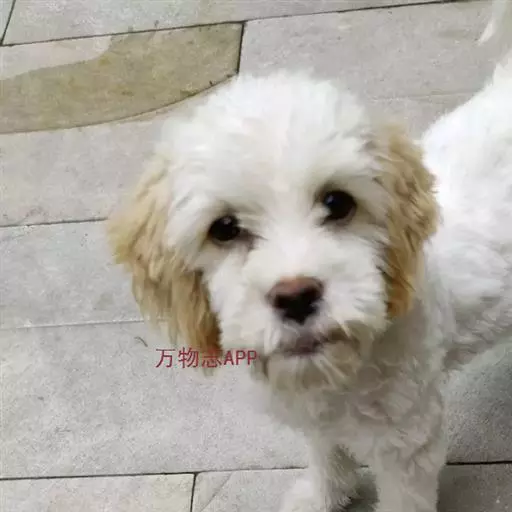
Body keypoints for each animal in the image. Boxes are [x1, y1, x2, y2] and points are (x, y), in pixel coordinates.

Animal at [107, 3, 512, 511]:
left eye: (337, 202)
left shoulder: (407, 441)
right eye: (224, 228)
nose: (296, 295)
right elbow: (326, 451)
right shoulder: (314, 410)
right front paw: (324, 495)